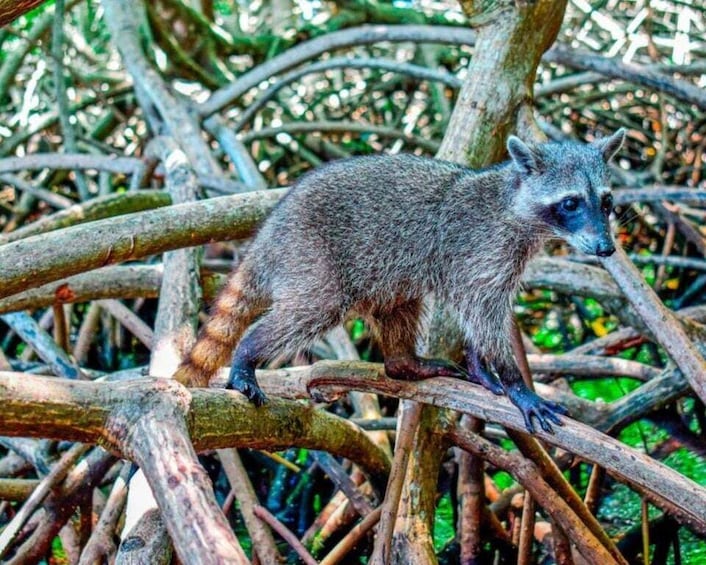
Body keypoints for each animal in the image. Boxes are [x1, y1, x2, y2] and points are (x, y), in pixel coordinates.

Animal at [175, 130, 620, 432]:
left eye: (607, 201)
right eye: (570, 203)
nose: (606, 247)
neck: (515, 203)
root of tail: (268, 233)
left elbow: (477, 314)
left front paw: (479, 362)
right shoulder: (482, 248)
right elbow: (482, 311)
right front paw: (514, 381)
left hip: (379, 271)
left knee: (399, 306)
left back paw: (404, 363)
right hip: (312, 255)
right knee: (310, 311)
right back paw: (248, 352)